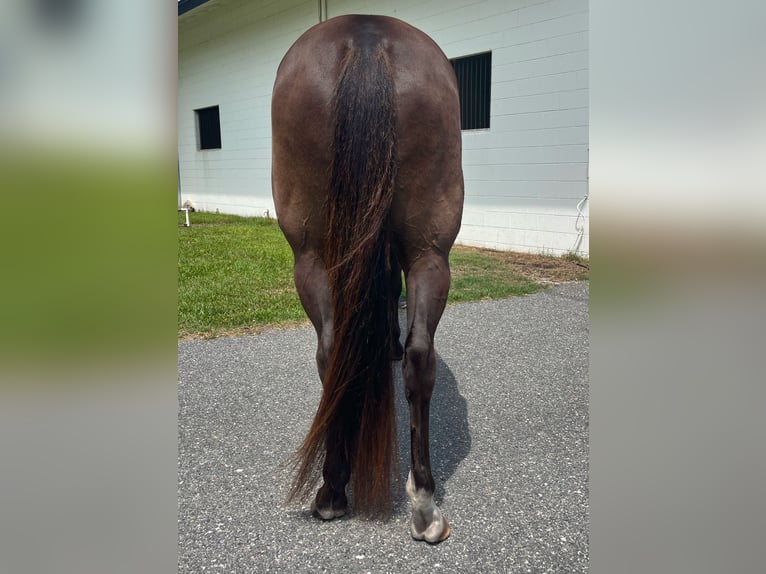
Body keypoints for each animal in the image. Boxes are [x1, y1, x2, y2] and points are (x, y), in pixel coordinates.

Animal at [272, 13, 464, 544]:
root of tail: (366, 33)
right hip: (425, 253)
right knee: (415, 355)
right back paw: (416, 500)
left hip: (315, 256)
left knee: (337, 351)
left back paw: (340, 490)